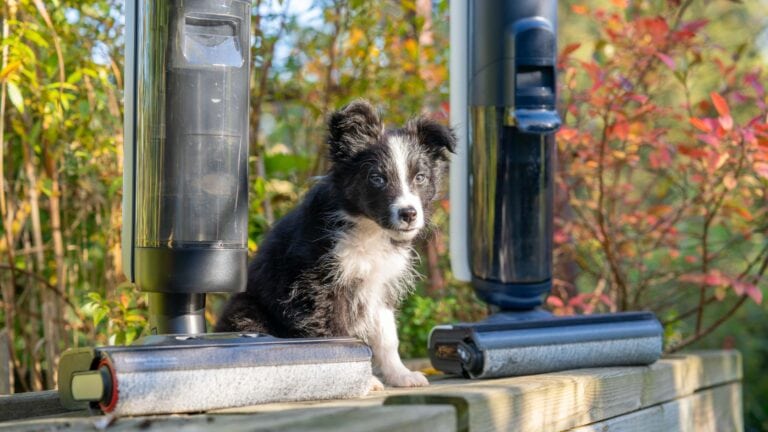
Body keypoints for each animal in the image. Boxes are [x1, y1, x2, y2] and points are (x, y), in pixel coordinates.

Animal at [214, 100, 456, 388]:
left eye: (420, 177)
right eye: (377, 178)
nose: (409, 214)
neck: (368, 228)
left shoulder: (379, 285)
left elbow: (387, 336)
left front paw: (401, 375)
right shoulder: (316, 286)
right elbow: (337, 336)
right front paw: (364, 382)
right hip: (248, 312)